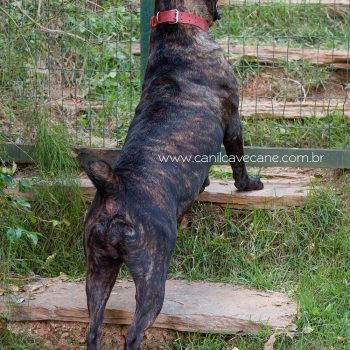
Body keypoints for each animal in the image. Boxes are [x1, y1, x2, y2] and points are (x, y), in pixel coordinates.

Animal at [83, 0, 262, 350]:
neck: (176, 29)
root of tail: (113, 189)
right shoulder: (233, 119)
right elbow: (238, 160)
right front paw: (249, 185)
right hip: (152, 275)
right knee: (133, 332)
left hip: (98, 269)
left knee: (93, 330)